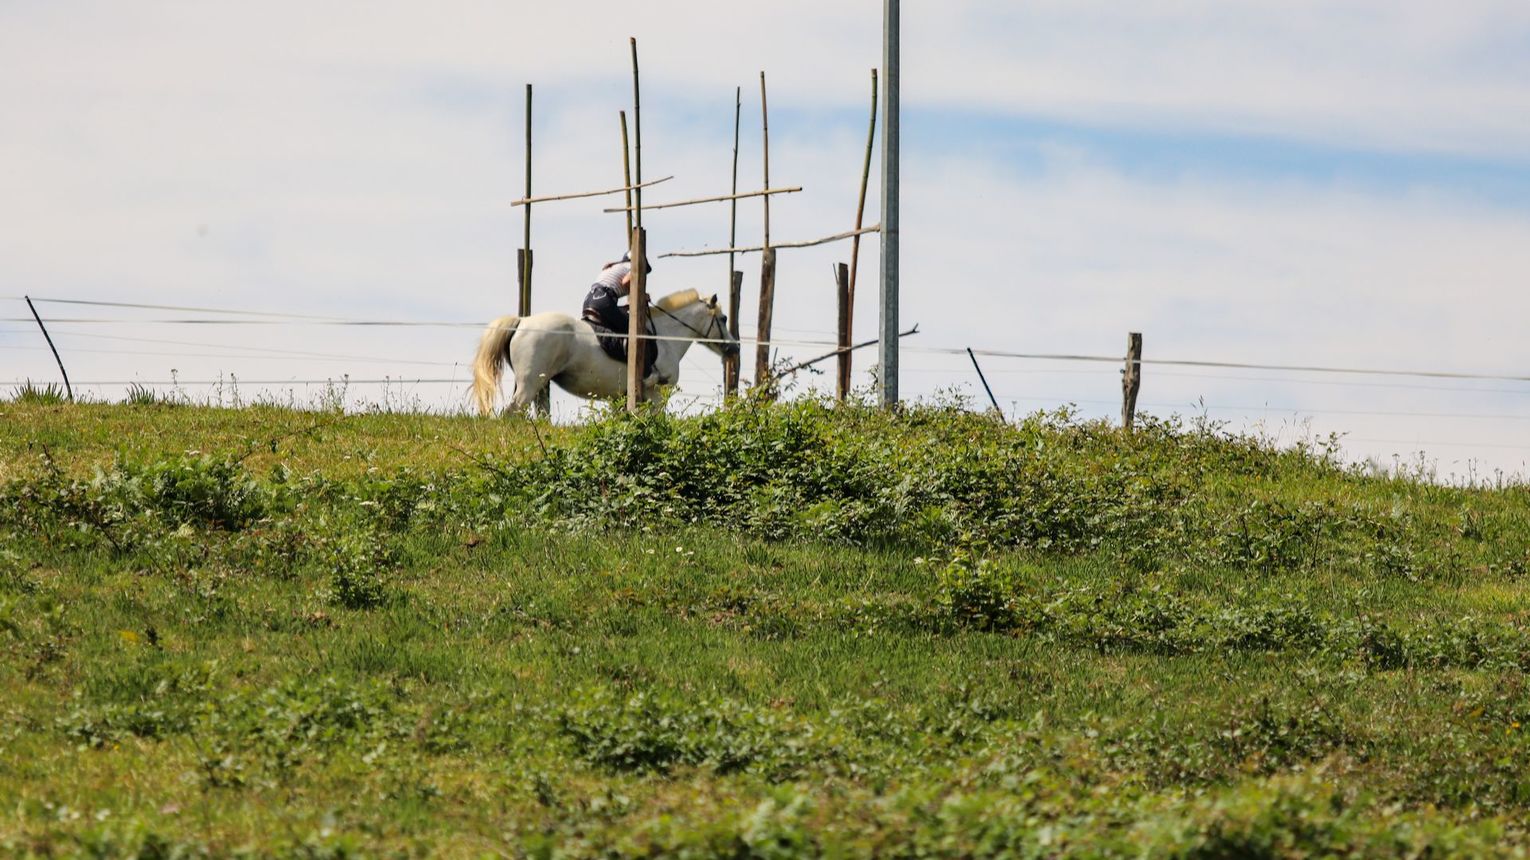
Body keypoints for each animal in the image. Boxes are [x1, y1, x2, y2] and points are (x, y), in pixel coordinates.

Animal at [477, 287, 740, 416]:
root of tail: (522, 321)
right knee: (512, 413)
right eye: (723, 319)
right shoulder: (654, 392)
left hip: (541, 384)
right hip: (530, 383)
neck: (666, 336)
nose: (734, 347)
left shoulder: (625, 396)